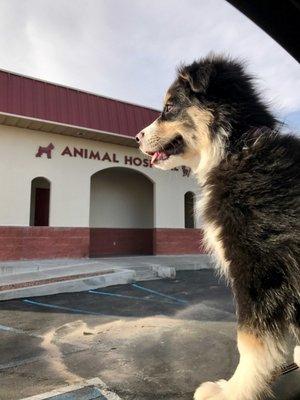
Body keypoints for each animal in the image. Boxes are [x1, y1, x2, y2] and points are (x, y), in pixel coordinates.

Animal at [137, 54, 300, 400]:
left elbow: (249, 340)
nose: (136, 138)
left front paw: (232, 391)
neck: (235, 147)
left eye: (169, 107)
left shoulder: (259, 266)